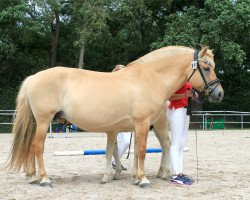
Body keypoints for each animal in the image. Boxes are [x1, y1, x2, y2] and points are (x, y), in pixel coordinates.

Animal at [7, 45, 224, 188]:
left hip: (37, 123)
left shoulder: (135, 126)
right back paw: (44, 179)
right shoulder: (143, 123)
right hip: (44, 122)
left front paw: (133, 177)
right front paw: (142, 179)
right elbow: (141, 151)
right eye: (206, 68)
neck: (151, 78)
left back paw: (34, 177)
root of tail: (33, 77)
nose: (219, 93)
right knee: (37, 147)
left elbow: (129, 151)